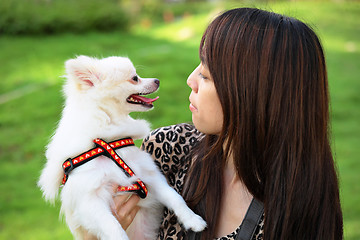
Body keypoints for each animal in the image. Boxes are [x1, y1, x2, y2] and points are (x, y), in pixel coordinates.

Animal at [38, 55, 207, 239]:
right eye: (135, 78)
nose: (157, 80)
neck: (107, 144)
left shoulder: (147, 175)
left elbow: (174, 197)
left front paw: (193, 219)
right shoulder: (89, 200)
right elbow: (113, 227)